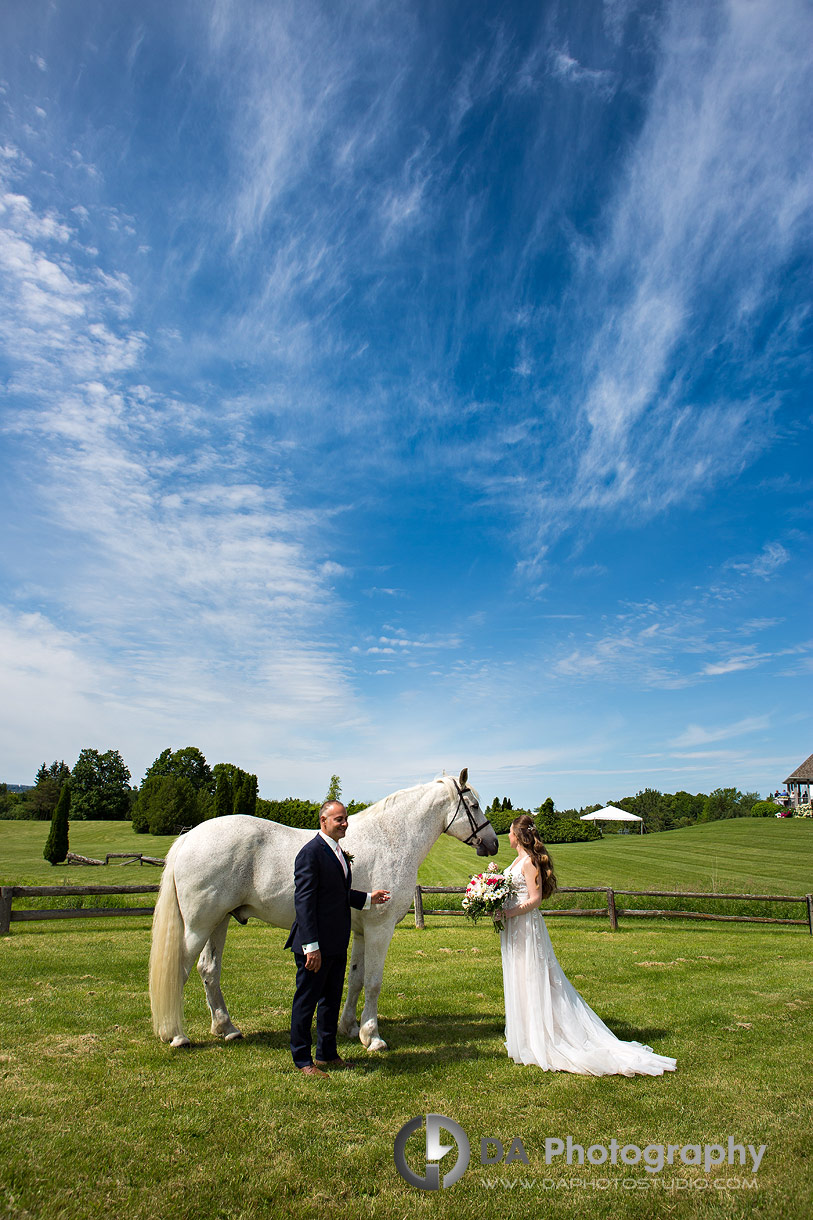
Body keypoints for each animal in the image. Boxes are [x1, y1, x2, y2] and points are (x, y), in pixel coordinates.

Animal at [148, 771, 498, 1049]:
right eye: (474, 806)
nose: (493, 843)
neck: (390, 839)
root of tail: (189, 837)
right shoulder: (379, 929)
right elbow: (373, 981)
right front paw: (373, 1037)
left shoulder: (361, 931)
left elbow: (355, 980)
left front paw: (351, 1028)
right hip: (198, 925)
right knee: (179, 970)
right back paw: (176, 1035)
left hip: (218, 922)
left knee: (208, 970)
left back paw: (227, 1027)